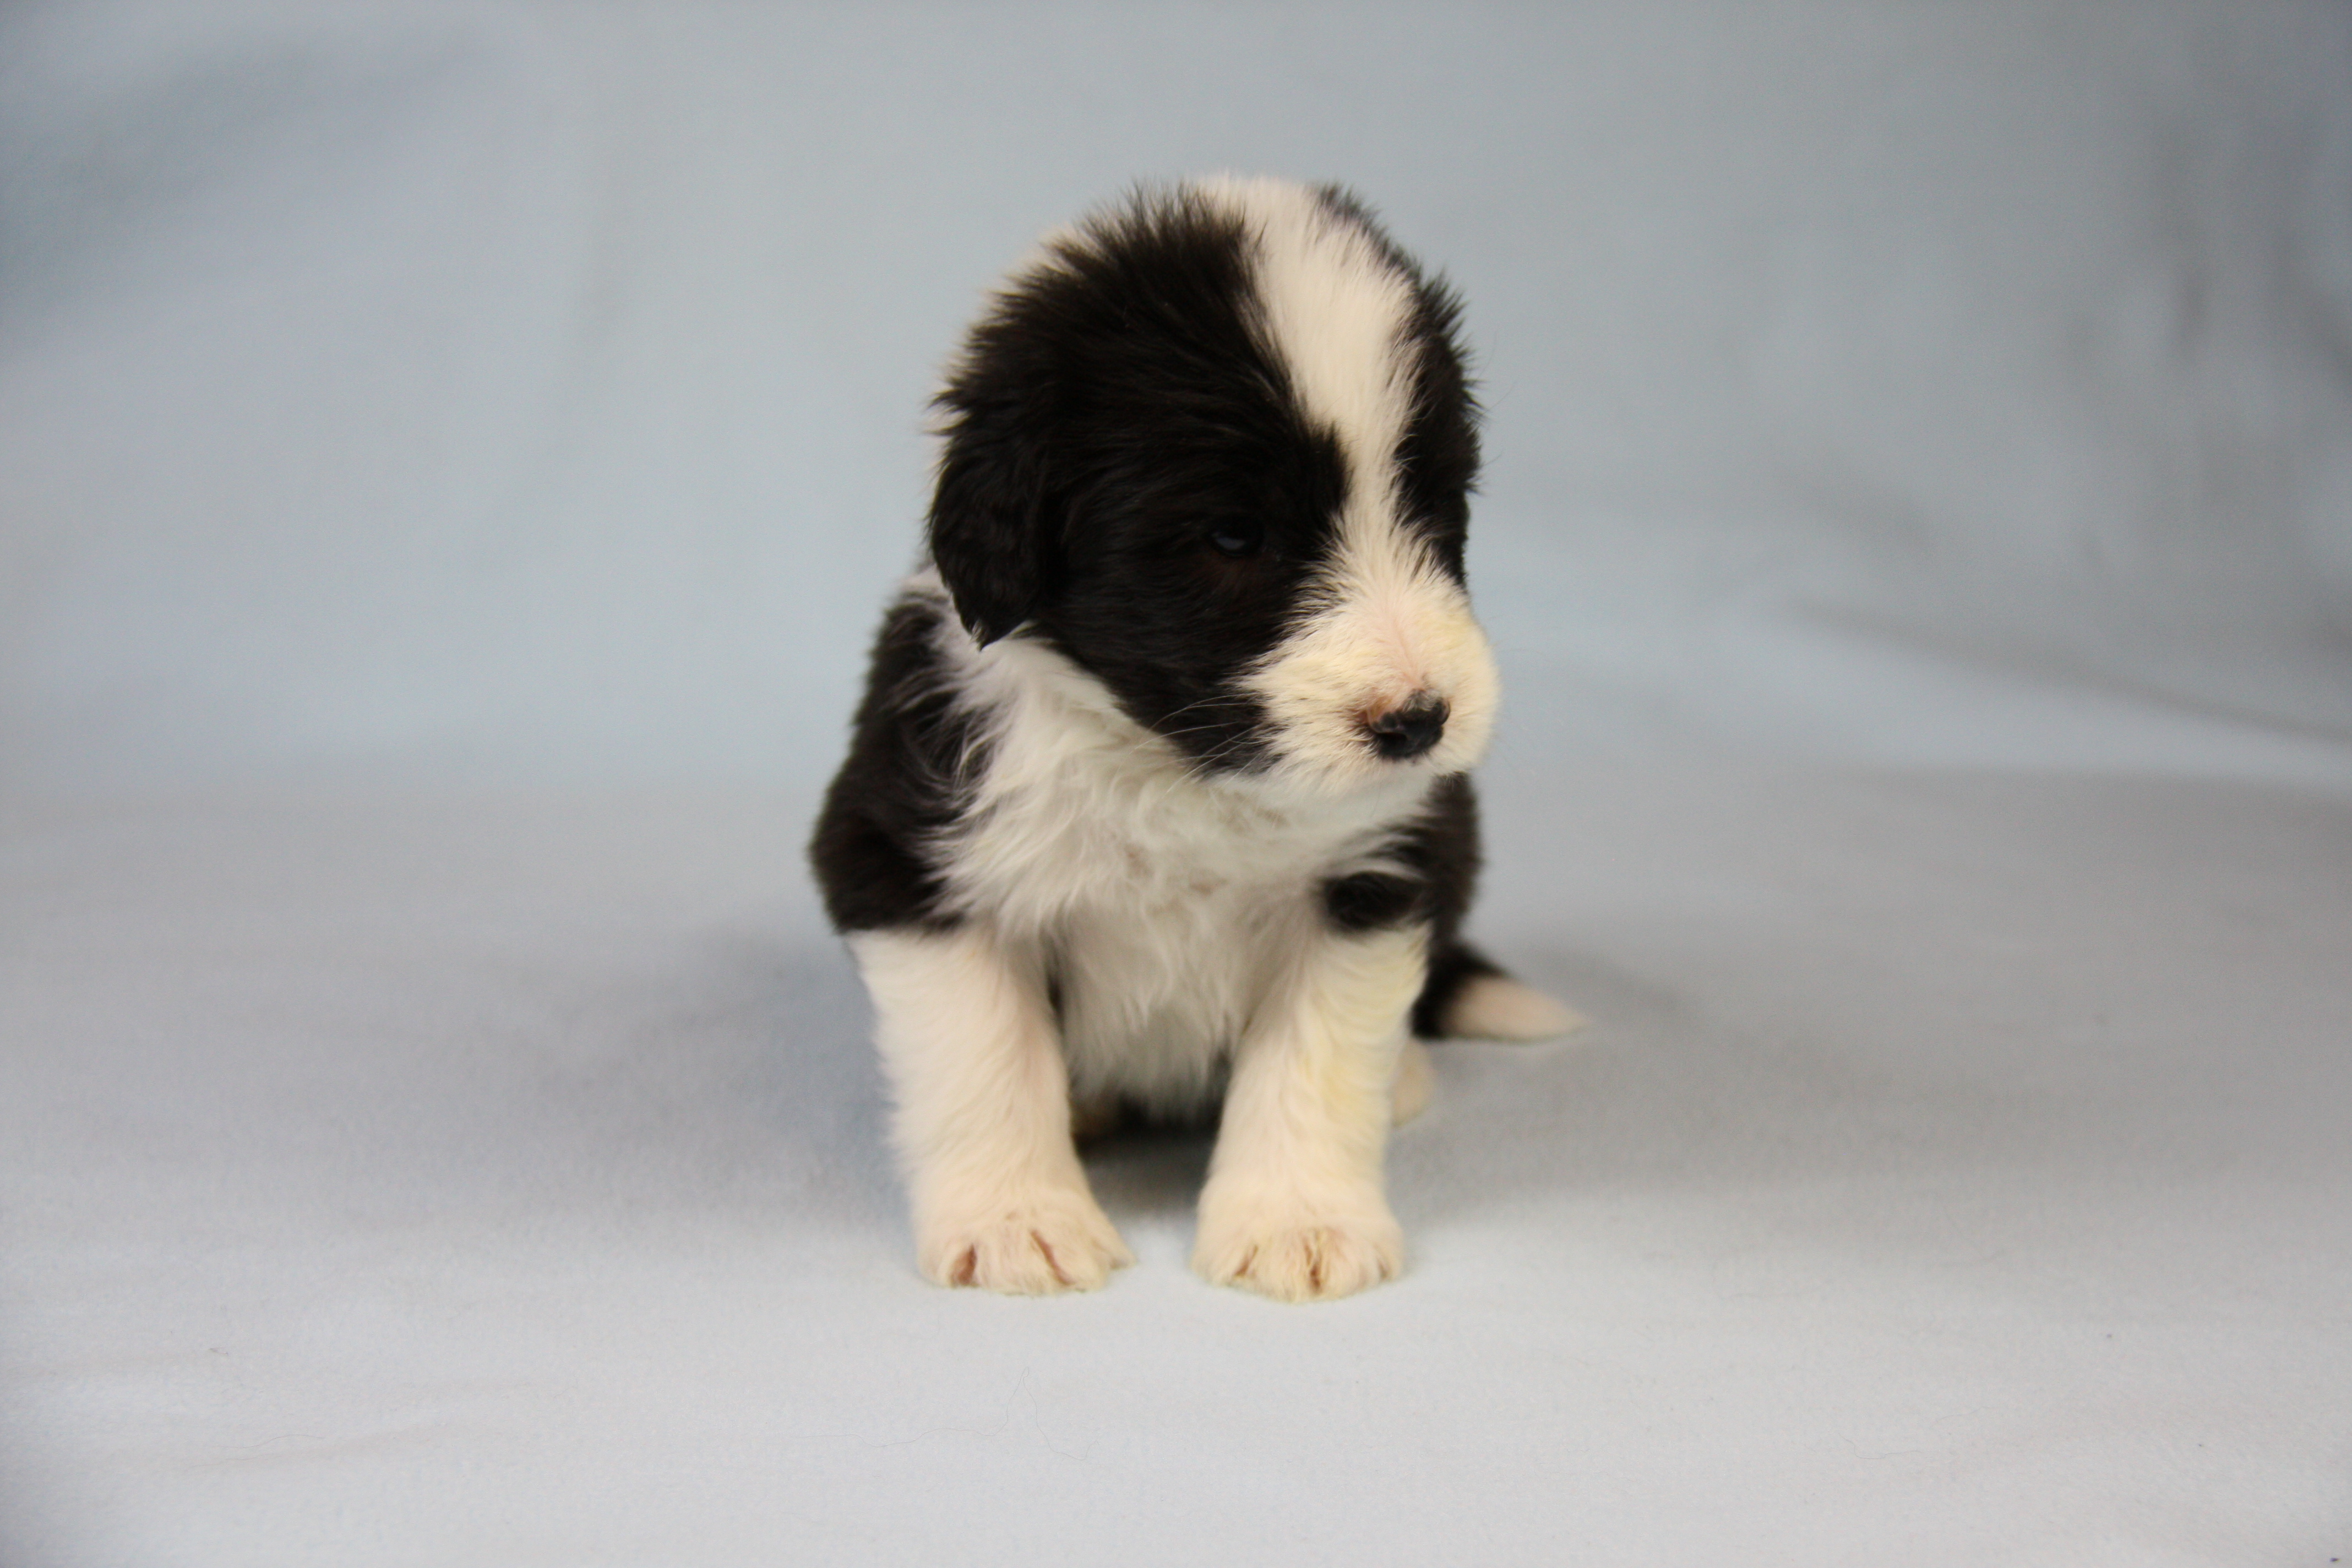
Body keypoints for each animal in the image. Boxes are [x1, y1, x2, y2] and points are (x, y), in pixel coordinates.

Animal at [809, 176, 1576, 1302]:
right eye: (1232, 535)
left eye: (1430, 509)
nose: (1418, 721)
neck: (1180, 769)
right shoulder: (907, 852)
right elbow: (984, 1051)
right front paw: (1017, 1220)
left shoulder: (1374, 870)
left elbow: (1313, 1057)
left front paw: (1299, 1220)